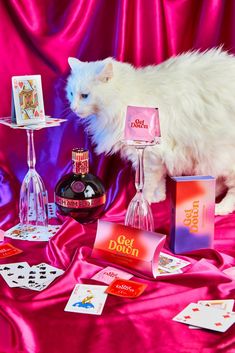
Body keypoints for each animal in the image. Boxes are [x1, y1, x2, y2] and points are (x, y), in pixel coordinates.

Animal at [65, 48, 235, 216]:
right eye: (71, 94)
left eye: (84, 96)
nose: (73, 108)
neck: (125, 98)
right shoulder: (154, 156)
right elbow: (159, 181)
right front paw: (158, 198)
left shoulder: (149, 155)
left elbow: (147, 183)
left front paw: (143, 205)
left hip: (221, 156)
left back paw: (220, 208)